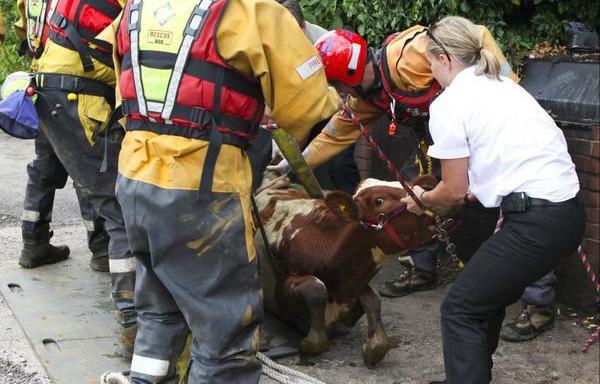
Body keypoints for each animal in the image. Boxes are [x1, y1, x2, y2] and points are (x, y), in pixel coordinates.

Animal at [253, 176, 436, 368]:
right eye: (379, 201)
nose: (433, 212)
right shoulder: (281, 288)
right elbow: (316, 289)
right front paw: (309, 342)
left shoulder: (355, 282)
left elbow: (374, 299)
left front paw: (372, 348)